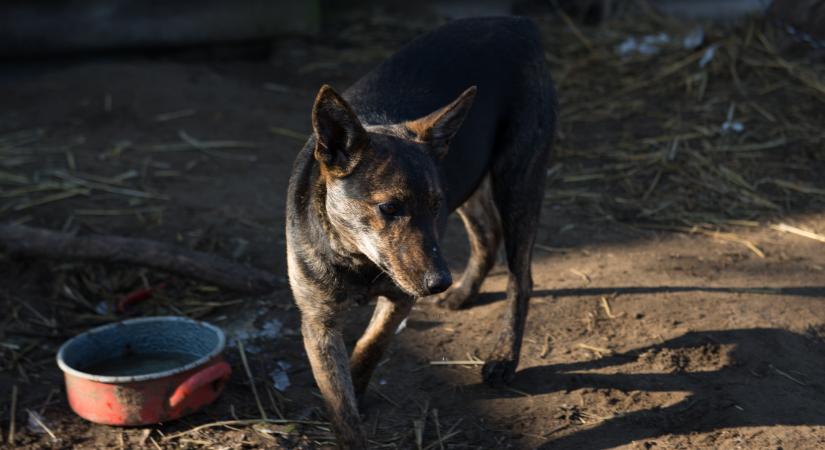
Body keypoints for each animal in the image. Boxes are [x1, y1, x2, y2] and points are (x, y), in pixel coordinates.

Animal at [286, 16, 556, 446]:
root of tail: (515, 23)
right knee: (487, 235)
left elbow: (370, 344)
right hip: (472, 182)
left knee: (521, 277)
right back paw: (464, 292)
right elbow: (338, 399)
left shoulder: (400, 297)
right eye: (388, 208)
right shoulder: (317, 323)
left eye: (434, 206)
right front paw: (347, 417)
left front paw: (358, 388)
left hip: (519, 180)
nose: (439, 282)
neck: (356, 258)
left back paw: (503, 356)